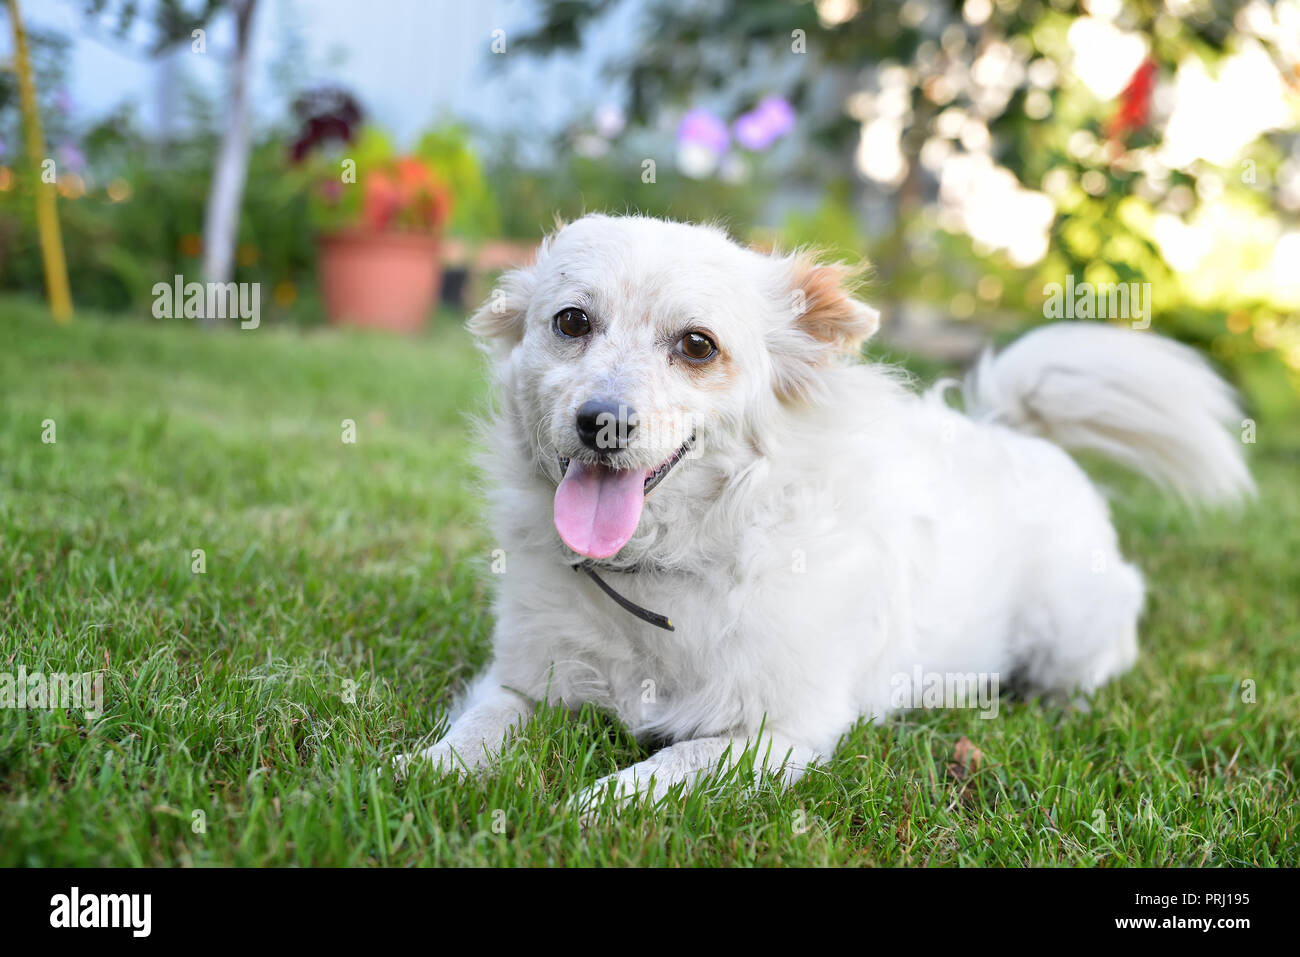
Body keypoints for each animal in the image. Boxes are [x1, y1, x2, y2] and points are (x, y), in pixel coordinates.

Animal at [392, 213, 1248, 811]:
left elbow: (667, 765)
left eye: (697, 346)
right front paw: (429, 770)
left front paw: (595, 802)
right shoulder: (524, 680)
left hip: (1073, 632)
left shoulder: (777, 734)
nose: (601, 420)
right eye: (571, 322)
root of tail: (1012, 429)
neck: (661, 566)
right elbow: (482, 726)